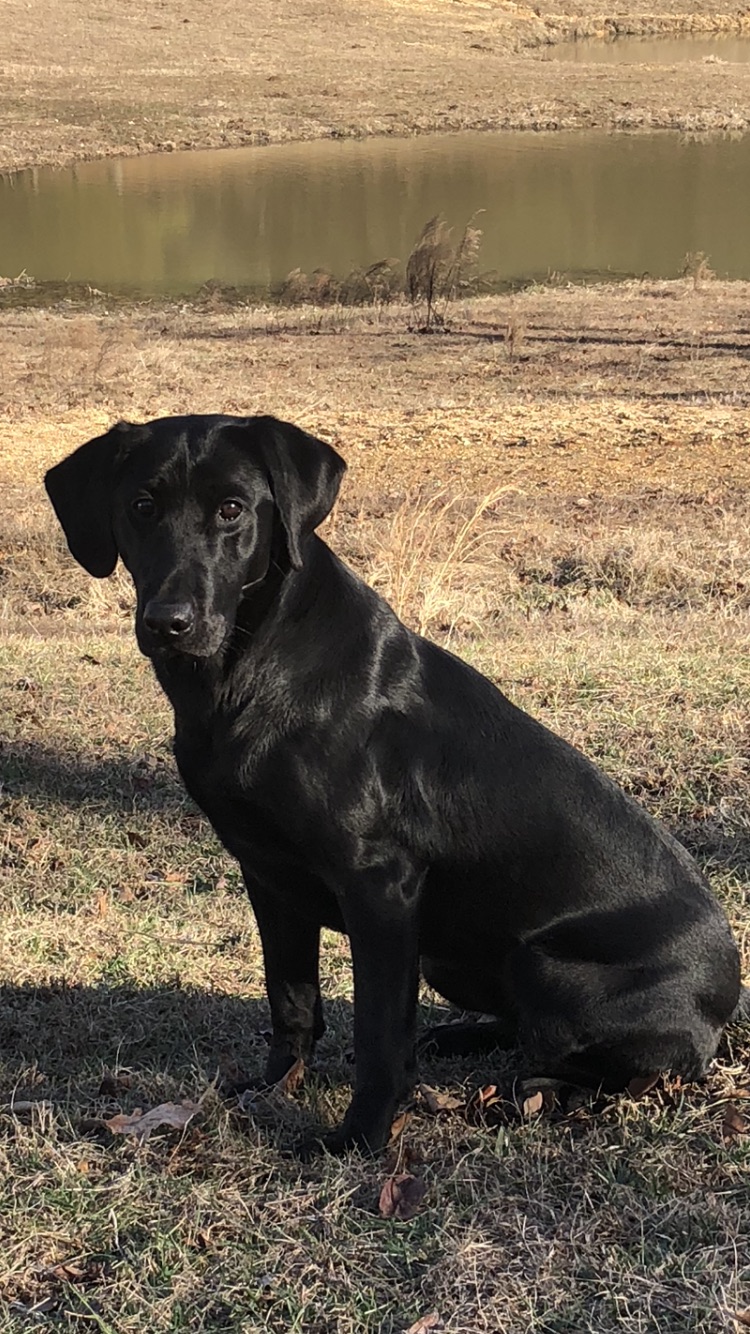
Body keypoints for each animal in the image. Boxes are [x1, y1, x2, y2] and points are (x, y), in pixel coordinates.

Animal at [45, 418, 741, 1157]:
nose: (168, 622)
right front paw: (272, 1088)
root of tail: (727, 999)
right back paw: (462, 1039)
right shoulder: (268, 877)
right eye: (141, 506)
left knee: (627, 1070)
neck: (248, 670)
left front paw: (360, 1137)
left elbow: (379, 1032)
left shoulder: (380, 886)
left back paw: (540, 1092)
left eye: (231, 509)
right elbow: (291, 1001)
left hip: (542, 965)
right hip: (455, 961)